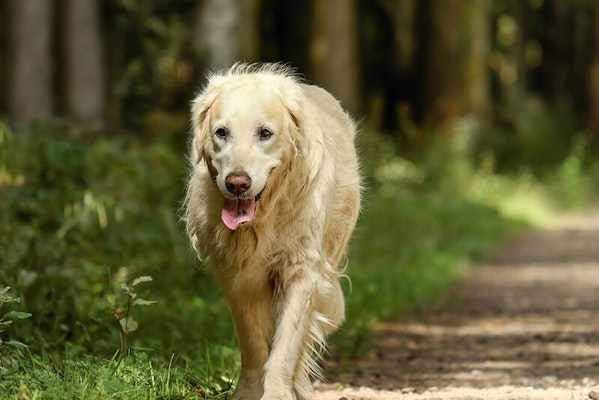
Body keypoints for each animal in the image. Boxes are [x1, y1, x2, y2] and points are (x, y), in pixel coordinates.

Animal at [183, 64, 360, 398]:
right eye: (221, 132)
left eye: (265, 133)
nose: (237, 183)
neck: (263, 219)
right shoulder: (236, 277)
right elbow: (253, 344)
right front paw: (248, 391)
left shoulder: (302, 271)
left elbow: (286, 347)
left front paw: (278, 392)